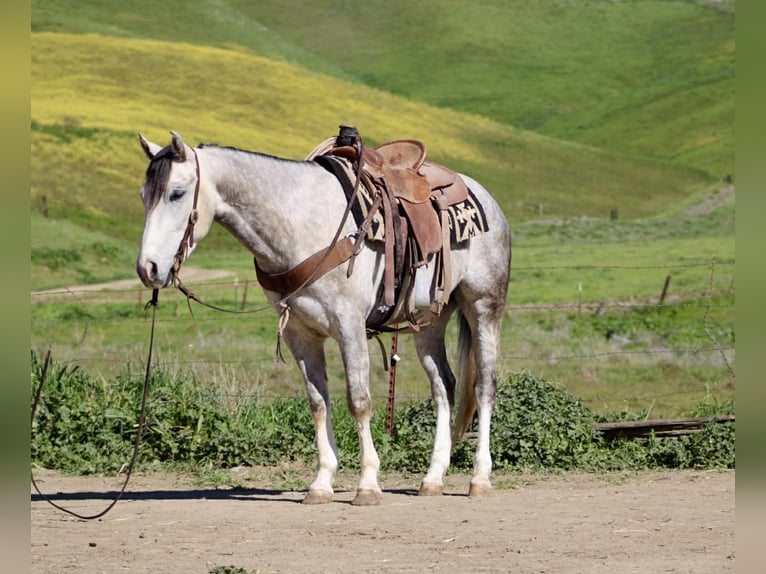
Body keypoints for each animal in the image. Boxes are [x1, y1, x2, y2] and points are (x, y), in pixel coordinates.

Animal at [135, 130, 511, 505]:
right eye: (143, 195)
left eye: (177, 193)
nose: (147, 268)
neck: (301, 223)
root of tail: (484, 196)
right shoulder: (300, 334)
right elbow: (318, 402)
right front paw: (322, 482)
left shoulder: (349, 325)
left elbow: (358, 401)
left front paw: (367, 484)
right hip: (430, 320)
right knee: (443, 386)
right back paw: (433, 477)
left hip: (484, 306)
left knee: (483, 386)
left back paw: (479, 477)